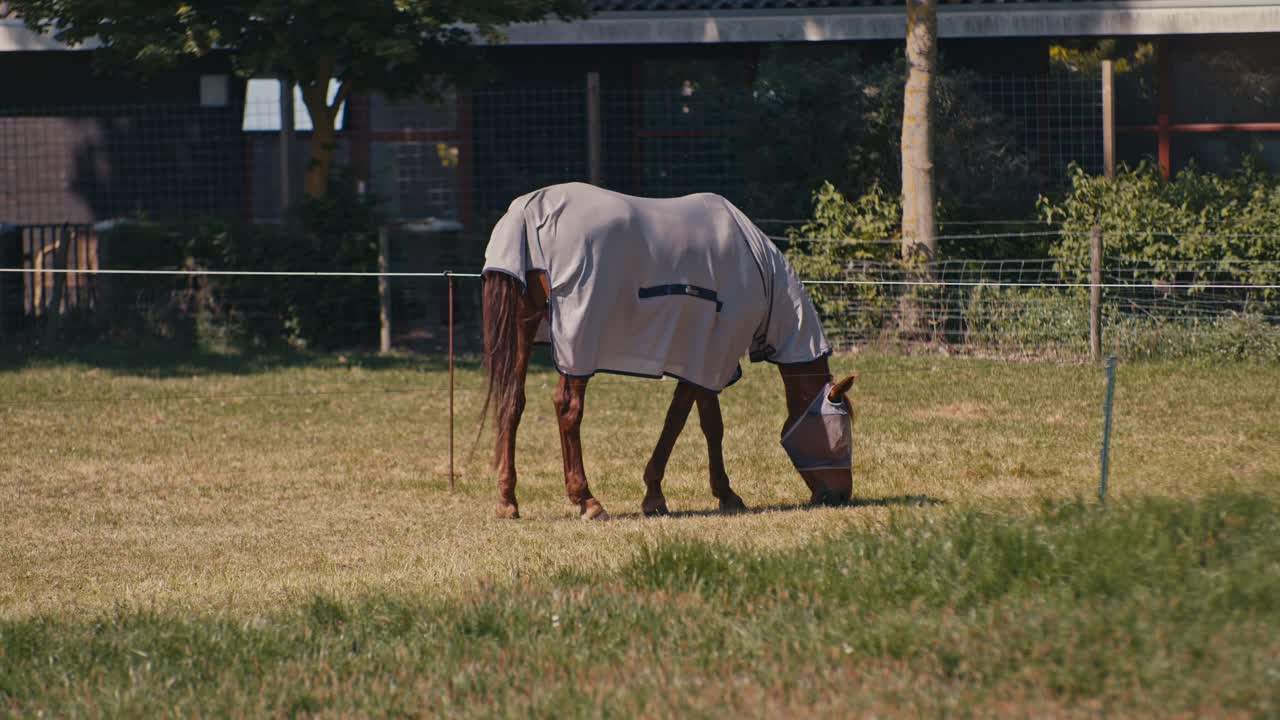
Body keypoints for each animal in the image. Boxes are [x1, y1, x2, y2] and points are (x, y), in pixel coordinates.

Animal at [480, 183, 856, 520]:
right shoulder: (708, 357)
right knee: (568, 409)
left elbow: (702, 422)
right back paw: (588, 501)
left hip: (523, 329)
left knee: (512, 402)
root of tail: (527, 215)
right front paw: (671, 496)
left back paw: (507, 502)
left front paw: (710, 494)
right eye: (842, 436)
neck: (758, 269)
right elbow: (686, 423)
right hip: (577, 342)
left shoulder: (703, 355)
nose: (841, 496)